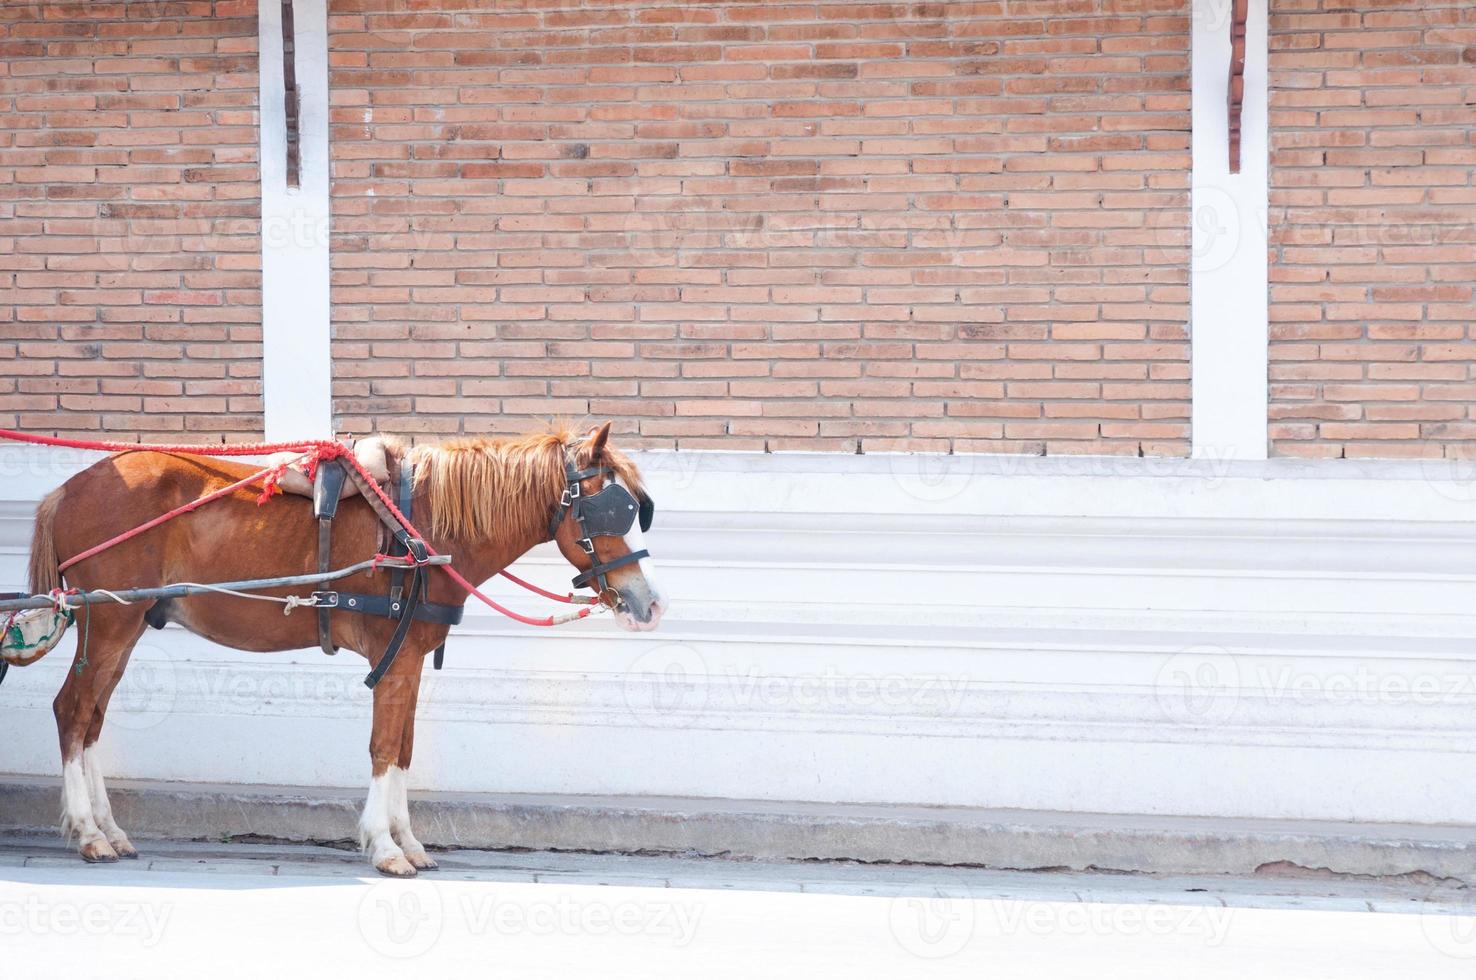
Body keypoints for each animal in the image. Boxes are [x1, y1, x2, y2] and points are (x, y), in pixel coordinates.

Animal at [17, 422, 661, 873]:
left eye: (634, 508)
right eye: (610, 507)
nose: (648, 603)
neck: (421, 525)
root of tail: (67, 489)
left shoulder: (411, 659)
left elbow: (403, 751)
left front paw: (408, 841)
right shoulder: (395, 658)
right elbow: (383, 748)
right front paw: (385, 847)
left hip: (120, 628)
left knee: (92, 719)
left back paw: (109, 830)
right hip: (109, 621)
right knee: (72, 711)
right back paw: (89, 833)